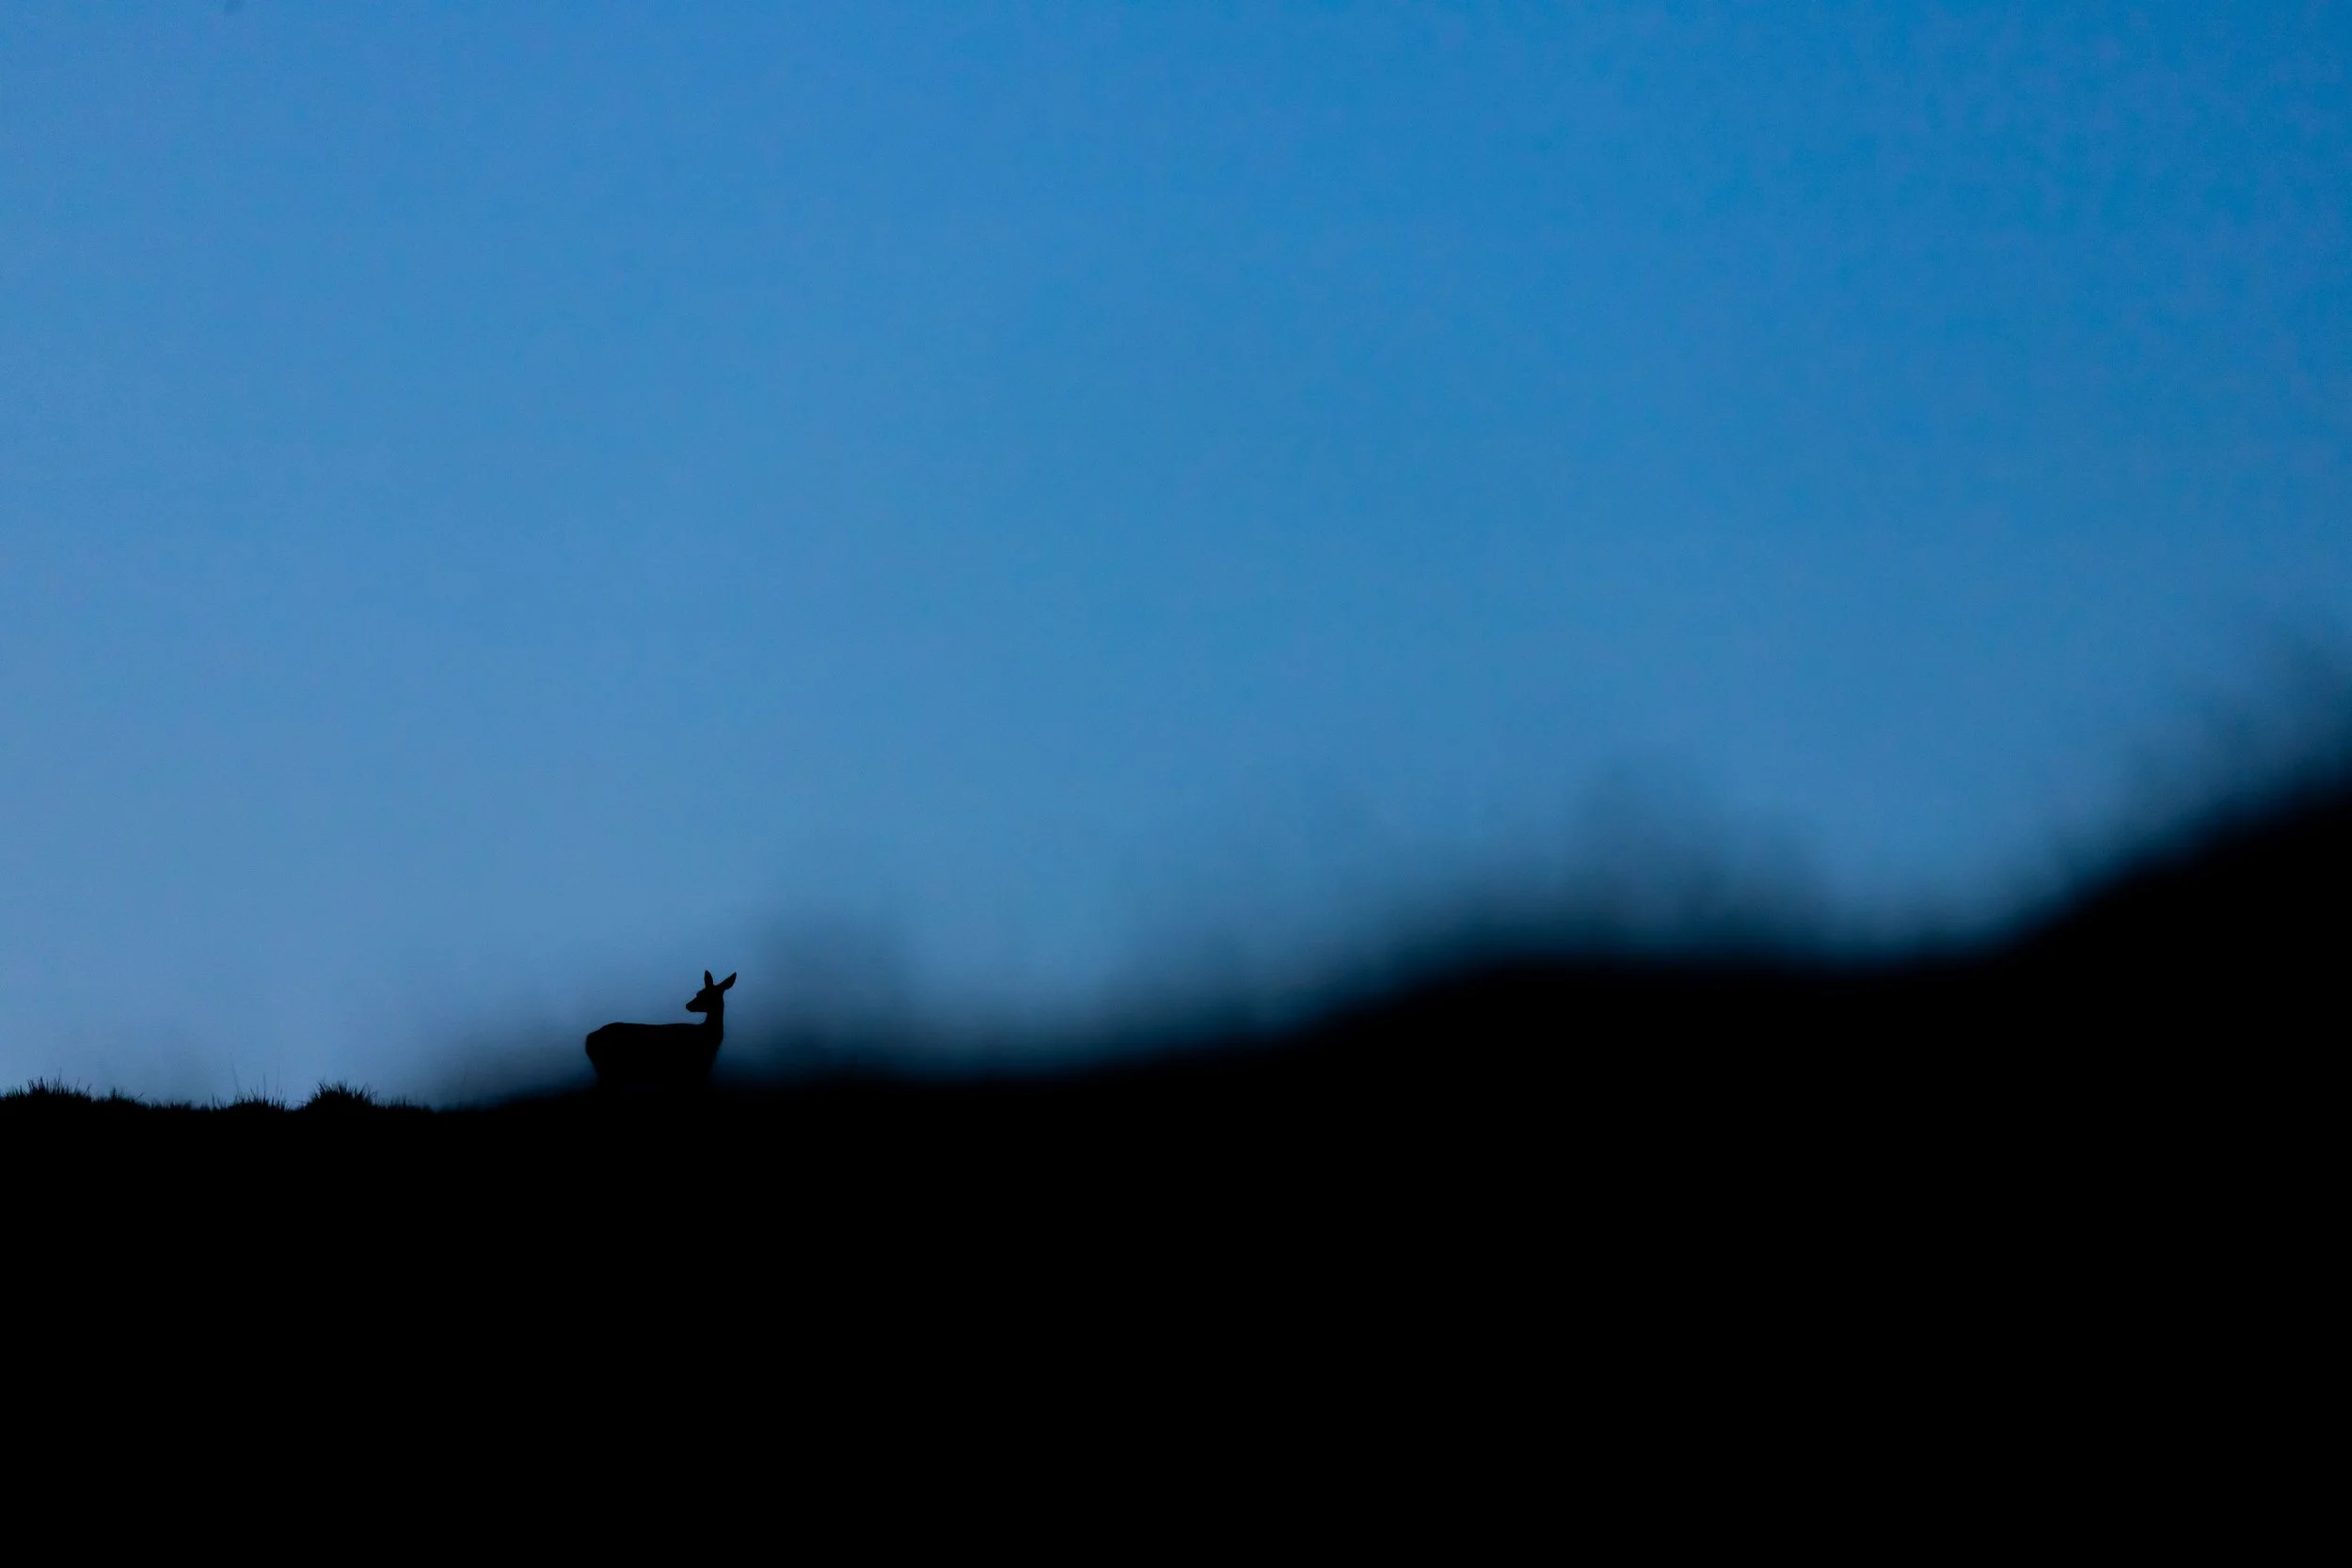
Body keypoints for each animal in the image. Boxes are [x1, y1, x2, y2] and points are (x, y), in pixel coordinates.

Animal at [586, 970, 735, 1089]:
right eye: (699, 993)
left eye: (706, 994)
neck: (708, 1036)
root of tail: (588, 1039)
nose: (688, 1005)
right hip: (609, 1070)